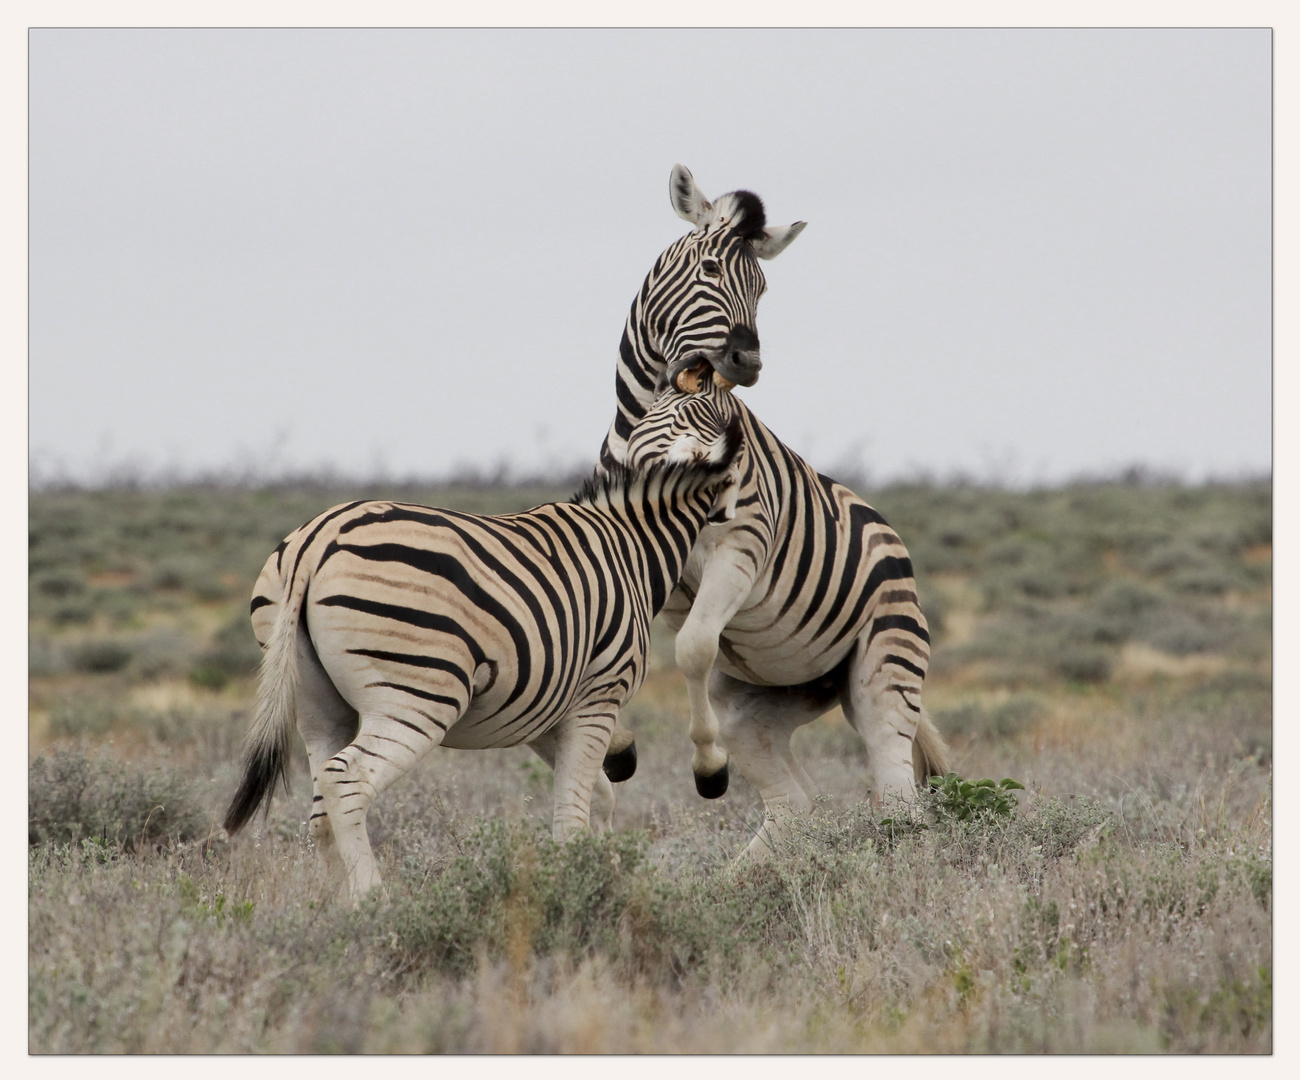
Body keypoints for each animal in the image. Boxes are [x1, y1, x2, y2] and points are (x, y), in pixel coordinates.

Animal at [223, 421, 743, 904]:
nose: (628, 756)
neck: (629, 547)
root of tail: (313, 542)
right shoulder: (598, 697)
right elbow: (573, 815)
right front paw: (574, 892)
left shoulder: (547, 713)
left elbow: (597, 798)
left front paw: (603, 881)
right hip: (416, 699)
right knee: (346, 781)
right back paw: (375, 905)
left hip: (318, 707)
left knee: (320, 814)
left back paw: (337, 913)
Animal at [598, 168, 946, 857]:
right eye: (708, 267)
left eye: (763, 288)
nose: (748, 363)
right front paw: (618, 750)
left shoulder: (741, 547)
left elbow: (693, 648)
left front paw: (706, 768)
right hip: (761, 698)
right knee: (795, 807)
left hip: (881, 668)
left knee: (899, 798)